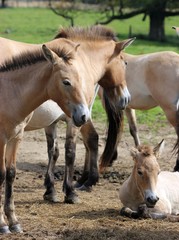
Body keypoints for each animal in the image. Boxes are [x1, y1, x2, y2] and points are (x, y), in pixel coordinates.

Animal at [0, 26, 134, 234]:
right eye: (125, 63)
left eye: (82, 78)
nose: (125, 99)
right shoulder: (73, 118)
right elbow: (74, 149)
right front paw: (73, 189)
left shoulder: (51, 122)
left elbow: (53, 152)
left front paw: (51, 190)